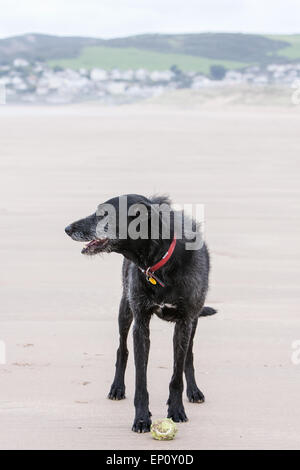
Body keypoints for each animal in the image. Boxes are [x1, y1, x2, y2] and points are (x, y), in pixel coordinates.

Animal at [65, 194, 216, 434]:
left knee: (189, 356)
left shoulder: (185, 322)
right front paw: (142, 418)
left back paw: (193, 391)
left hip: (194, 320)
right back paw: (117, 387)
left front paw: (176, 410)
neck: (159, 263)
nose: (67, 229)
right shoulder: (140, 324)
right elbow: (140, 379)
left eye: (104, 213)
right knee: (122, 349)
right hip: (125, 310)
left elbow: (177, 374)